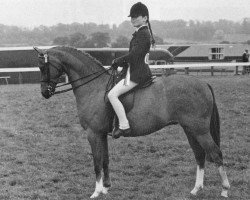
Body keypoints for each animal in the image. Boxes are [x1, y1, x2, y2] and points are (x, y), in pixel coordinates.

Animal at [34, 46, 229, 198]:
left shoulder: (93, 133)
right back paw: (196, 189)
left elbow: (96, 162)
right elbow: (105, 160)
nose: (44, 92)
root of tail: (203, 83)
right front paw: (106, 188)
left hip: (200, 130)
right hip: (190, 129)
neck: (94, 87)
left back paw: (225, 190)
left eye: (44, 66)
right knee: (200, 155)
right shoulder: (101, 134)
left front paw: (96, 192)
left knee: (216, 154)